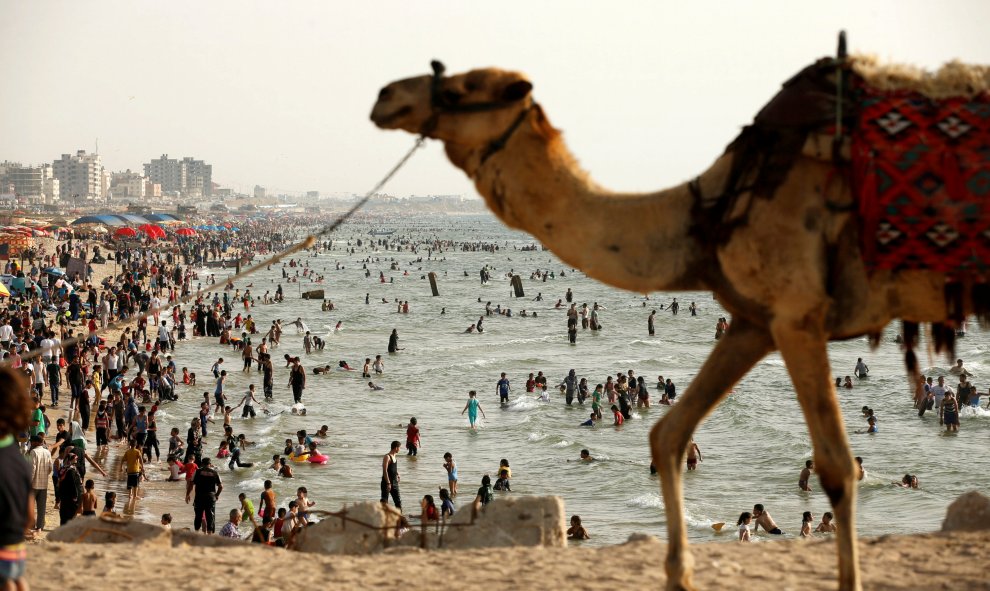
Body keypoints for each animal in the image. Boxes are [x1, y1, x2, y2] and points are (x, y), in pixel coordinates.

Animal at [370, 53, 990, 588]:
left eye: (461, 88)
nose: (384, 96)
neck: (705, 214)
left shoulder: (797, 311)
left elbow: (837, 468)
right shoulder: (756, 319)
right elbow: (668, 433)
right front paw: (679, 574)